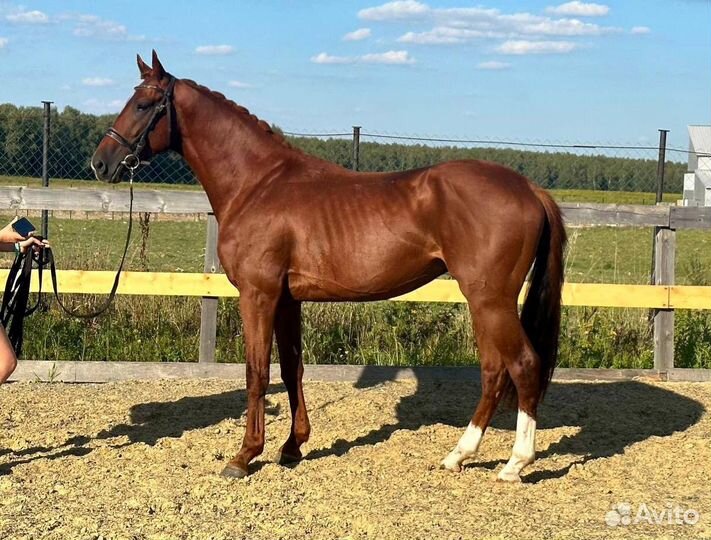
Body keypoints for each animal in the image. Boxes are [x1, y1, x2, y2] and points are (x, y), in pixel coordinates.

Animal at [91, 51, 566, 482]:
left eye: (142, 104)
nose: (101, 162)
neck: (257, 184)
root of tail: (529, 187)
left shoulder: (258, 295)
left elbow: (256, 372)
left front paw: (245, 456)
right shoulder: (287, 300)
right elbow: (291, 369)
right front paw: (292, 447)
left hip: (490, 300)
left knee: (523, 364)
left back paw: (514, 464)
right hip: (484, 302)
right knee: (493, 371)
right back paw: (458, 456)